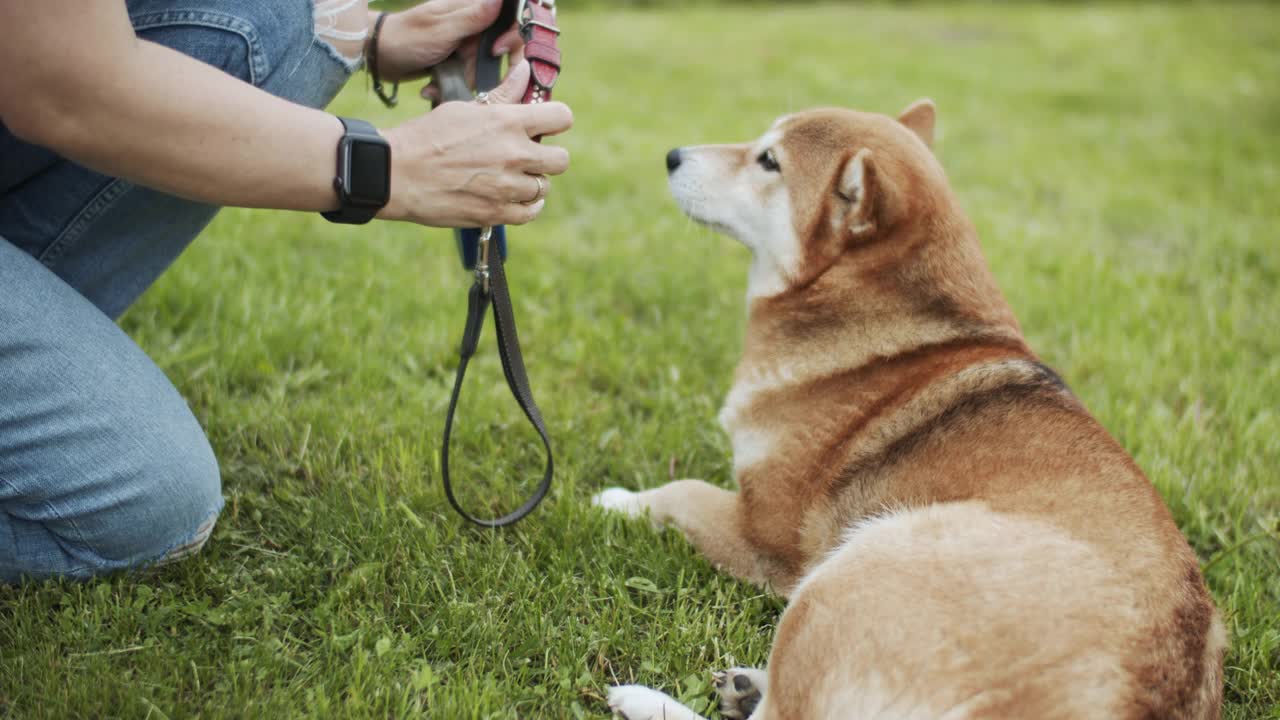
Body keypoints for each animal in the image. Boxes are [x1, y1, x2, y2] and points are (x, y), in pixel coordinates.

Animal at [593, 101, 1223, 717]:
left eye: (768, 160)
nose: (673, 155)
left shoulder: (763, 535)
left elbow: (683, 491)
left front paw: (618, 501)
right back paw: (745, 687)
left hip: (855, 566)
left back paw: (646, 700)